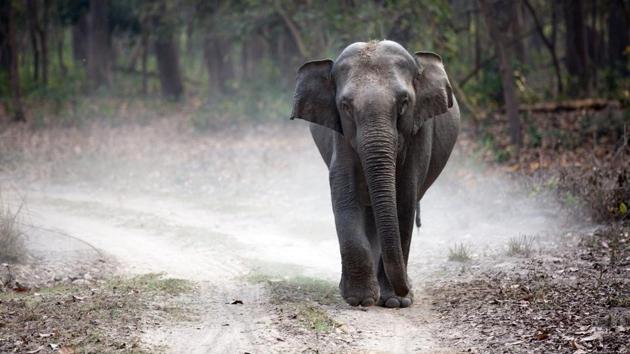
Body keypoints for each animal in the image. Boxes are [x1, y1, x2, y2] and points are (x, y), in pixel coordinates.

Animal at [290, 39, 460, 306]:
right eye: (345, 106)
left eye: (404, 103)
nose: (406, 290)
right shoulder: (340, 135)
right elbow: (345, 194)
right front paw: (360, 300)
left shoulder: (419, 132)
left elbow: (404, 199)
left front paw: (395, 302)